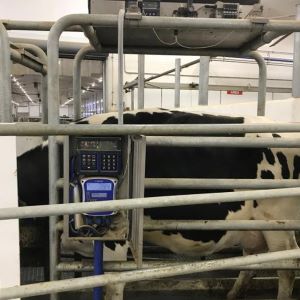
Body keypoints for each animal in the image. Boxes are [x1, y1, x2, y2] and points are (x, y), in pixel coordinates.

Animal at [18, 109, 300, 298]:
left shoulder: (114, 243)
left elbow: (112, 283)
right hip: (251, 225)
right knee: (253, 259)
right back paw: (232, 294)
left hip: (278, 223)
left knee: (286, 267)